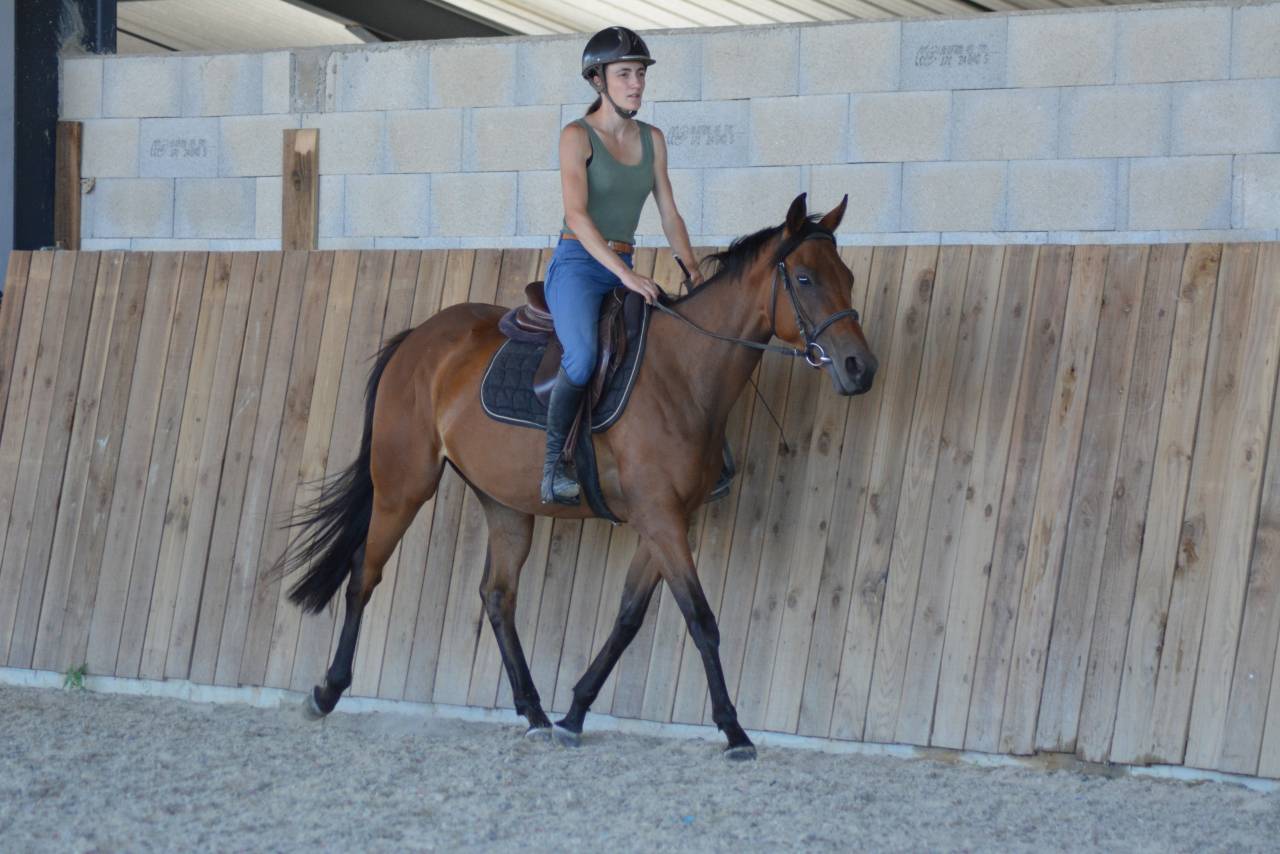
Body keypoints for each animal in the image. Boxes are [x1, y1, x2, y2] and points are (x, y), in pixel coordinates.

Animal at [276, 193, 878, 760]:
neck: (682, 372)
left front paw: (575, 714)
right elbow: (700, 619)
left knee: (497, 595)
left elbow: (629, 618)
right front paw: (734, 732)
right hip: (403, 487)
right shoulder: (661, 519)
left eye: (848, 277)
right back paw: (326, 692)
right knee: (365, 574)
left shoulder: (664, 520)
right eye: (805, 278)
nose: (860, 369)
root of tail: (419, 337)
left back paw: (535, 714)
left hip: (505, 504)